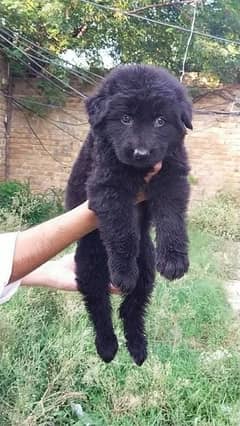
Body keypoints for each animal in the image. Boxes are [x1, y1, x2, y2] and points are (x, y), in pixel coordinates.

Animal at [66, 65, 193, 364]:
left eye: (160, 121)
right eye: (125, 118)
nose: (140, 153)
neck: (139, 171)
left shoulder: (172, 175)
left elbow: (172, 219)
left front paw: (174, 260)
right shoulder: (108, 186)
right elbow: (122, 230)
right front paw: (123, 272)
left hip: (146, 269)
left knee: (131, 309)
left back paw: (137, 348)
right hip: (89, 266)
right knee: (99, 307)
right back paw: (107, 347)